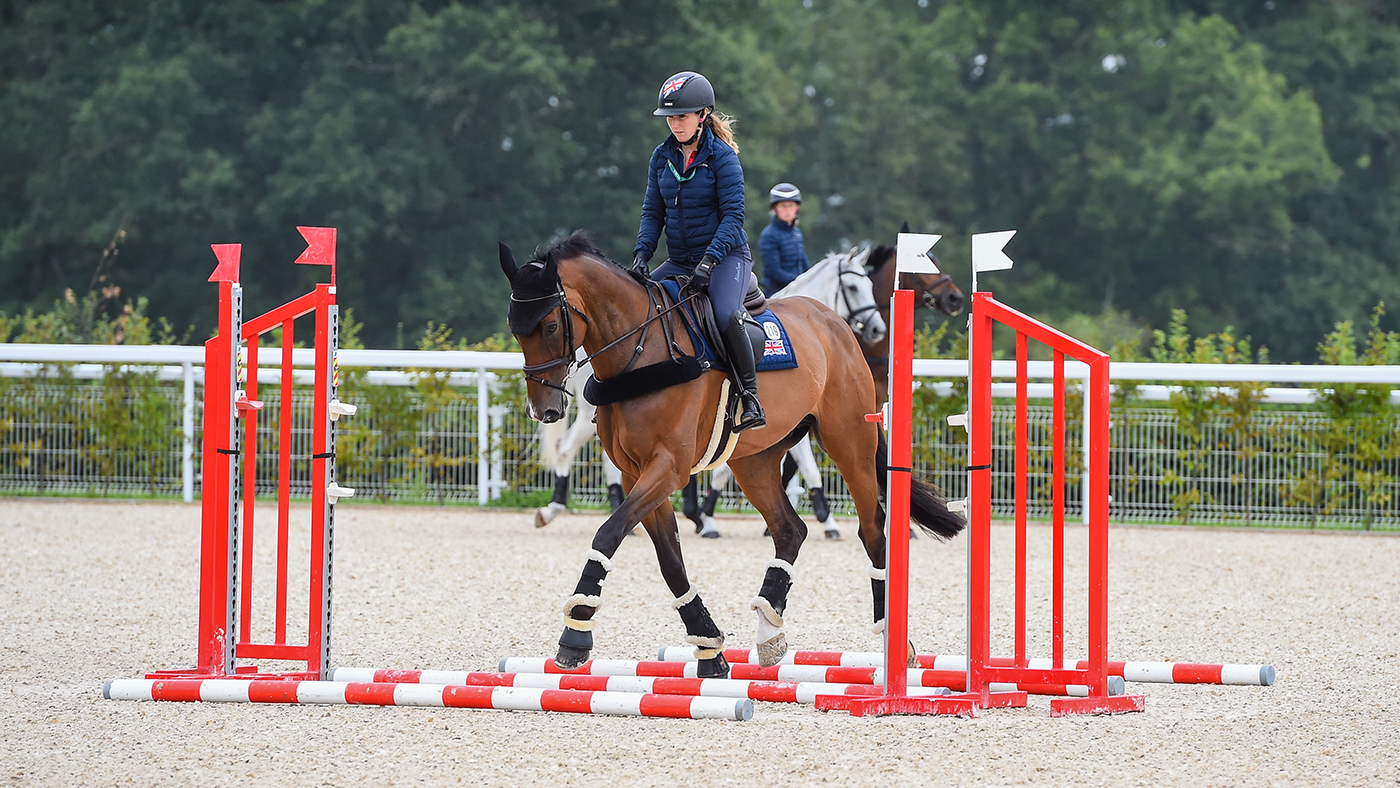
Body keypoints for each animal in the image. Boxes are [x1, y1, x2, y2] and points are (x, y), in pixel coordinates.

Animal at [498, 229, 968, 677]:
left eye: (550, 327)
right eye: (515, 328)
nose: (543, 408)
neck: (640, 352)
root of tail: (833, 324)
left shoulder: (667, 468)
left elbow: (608, 535)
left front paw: (575, 634)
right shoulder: (639, 474)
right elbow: (670, 561)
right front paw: (709, 648)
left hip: (849, 443)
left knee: (872, 530)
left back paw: (890, 637)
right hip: (755, 460)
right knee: (789, 530)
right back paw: (768, 631)